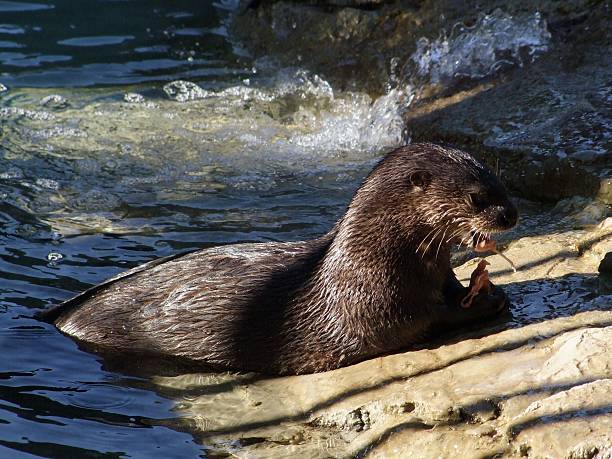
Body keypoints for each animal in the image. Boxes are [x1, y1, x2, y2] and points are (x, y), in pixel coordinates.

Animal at [41, 145, 516, 378]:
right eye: (478, 197)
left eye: (500, 181)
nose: (511, 215)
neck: (368, 260)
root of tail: (58, 315)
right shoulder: (375, 304)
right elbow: (423, 319)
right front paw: (484, 304)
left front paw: (486, 290)